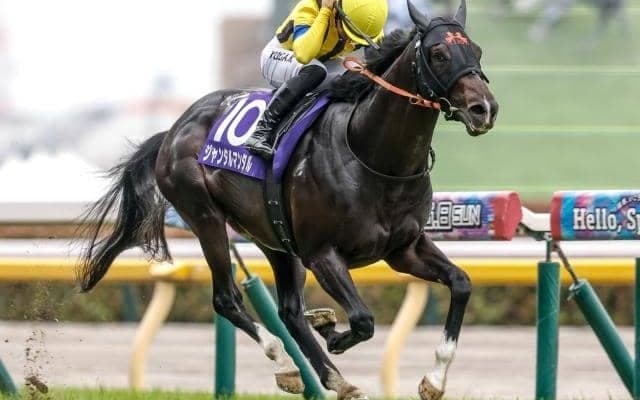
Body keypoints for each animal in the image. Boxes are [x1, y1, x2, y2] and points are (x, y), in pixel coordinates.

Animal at [76, 1, 497, 399]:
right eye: (438, 53)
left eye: (476, 50)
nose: (484, 109)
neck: (374, 157)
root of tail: (174, 129)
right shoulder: (322, 253)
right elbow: (363, 320)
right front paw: (335, 335)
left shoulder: (403, 249)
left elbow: (461, 284)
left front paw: (433, 380)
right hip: (205, 215)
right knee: (227, 298)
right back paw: (287, 364)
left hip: (273, 235)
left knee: (290, 311)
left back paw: (333, 374)